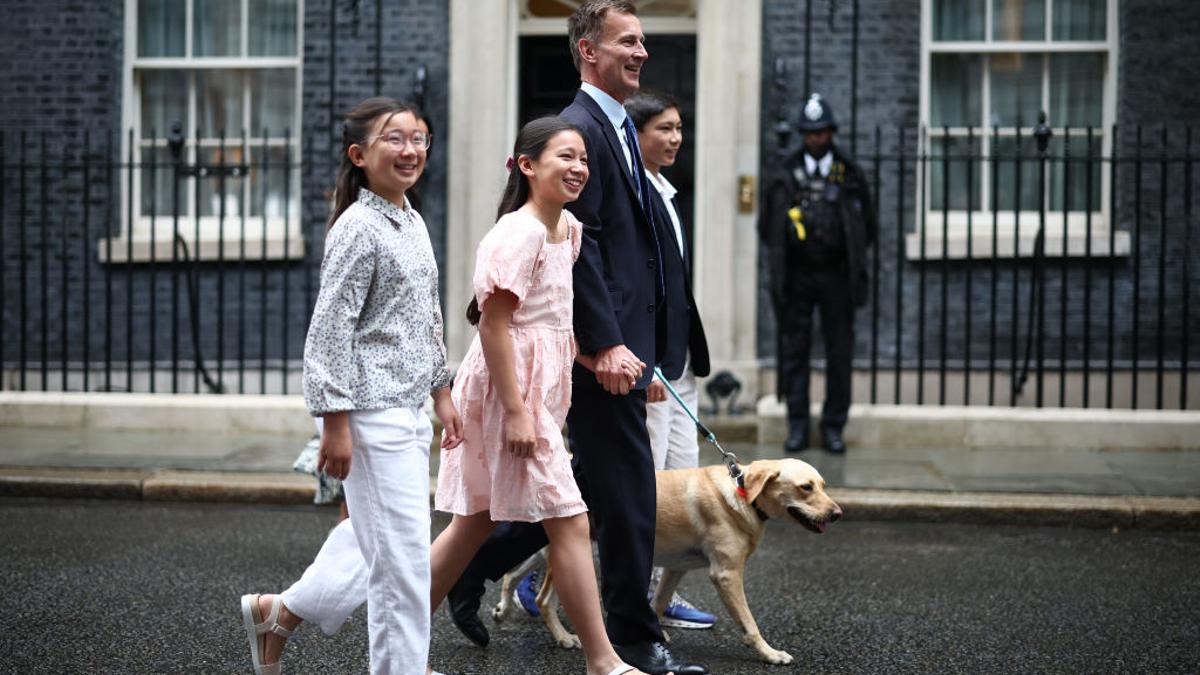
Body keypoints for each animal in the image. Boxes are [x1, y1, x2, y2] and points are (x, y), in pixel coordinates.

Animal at [492, 456, 840, 662]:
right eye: (805, 487)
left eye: (823, 485)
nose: (838, 513)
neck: (742, 494)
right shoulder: (726, 574)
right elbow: (750, 623)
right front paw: (770, 653)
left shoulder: (675, 568)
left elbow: (657, 602)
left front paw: (655, 636)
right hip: (579, 553)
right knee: (543, 599)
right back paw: (565, 638)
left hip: (544, 550)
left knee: (510, 574)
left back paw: (501, 609)